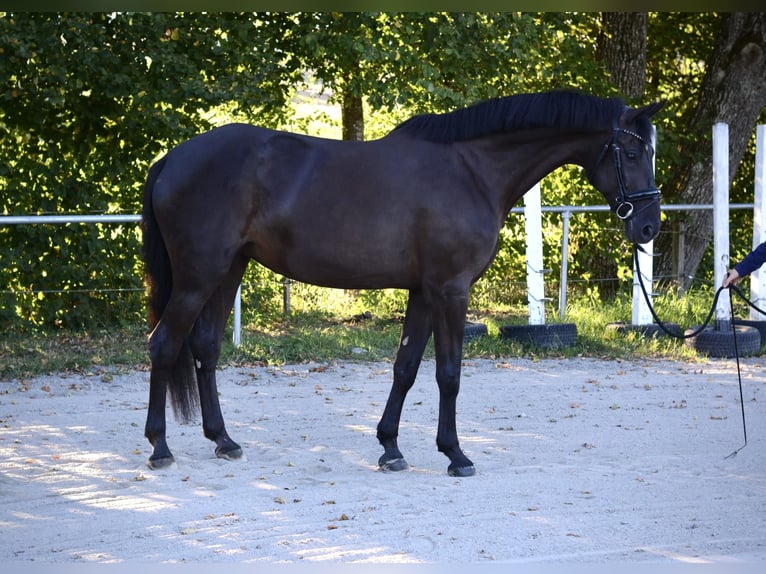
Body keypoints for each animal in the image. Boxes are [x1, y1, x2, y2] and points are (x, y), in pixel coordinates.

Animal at [141, 90, 664, 477]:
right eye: (631, 151)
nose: (648, 228)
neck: (472, 170)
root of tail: (170, 161)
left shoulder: (424, 291)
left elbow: (406, 367)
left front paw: (390, 447)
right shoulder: (451, 289)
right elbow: (448, 373)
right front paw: (455, 454)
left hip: (228, 271)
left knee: (205, 347)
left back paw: (223, 440)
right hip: (198, 277)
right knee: (164, 345)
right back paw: (160, 447)